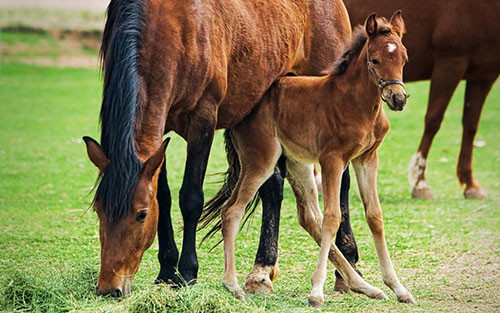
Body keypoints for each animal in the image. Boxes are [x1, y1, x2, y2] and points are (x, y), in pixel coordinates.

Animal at [82, 0, 356, 296]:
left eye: (141, 215)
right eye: (98, 210)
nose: (109, 288)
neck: (170, 27)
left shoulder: (202, 122)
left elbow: (190, 198)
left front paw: (187, 272)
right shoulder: (159, 133)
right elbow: (163, 198)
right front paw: (166, 271)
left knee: (341, 181)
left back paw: (347, 264)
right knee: (273, 186)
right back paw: (262, 270)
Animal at [208, 11, 414, 306]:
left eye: (403, 59)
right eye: (375, 60)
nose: (397, 98)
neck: (357, 103)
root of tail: (242, 112)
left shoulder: (367, 159)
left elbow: (375, 216)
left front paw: (398, 288)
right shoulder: (333, 160)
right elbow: (332, 218)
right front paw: (316, 291)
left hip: (296, 162)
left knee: (307, 216)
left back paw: (365, 286)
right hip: (261, 161)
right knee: (232, 210)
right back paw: (233, 285)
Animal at [344, 0, 500, 199]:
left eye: (405, 60)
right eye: (375, 60)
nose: (398, 98)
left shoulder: (484, 75)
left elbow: (471, 126)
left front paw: (471, 185)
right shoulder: (451, 62)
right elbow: (433, 120)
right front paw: (420, 182)